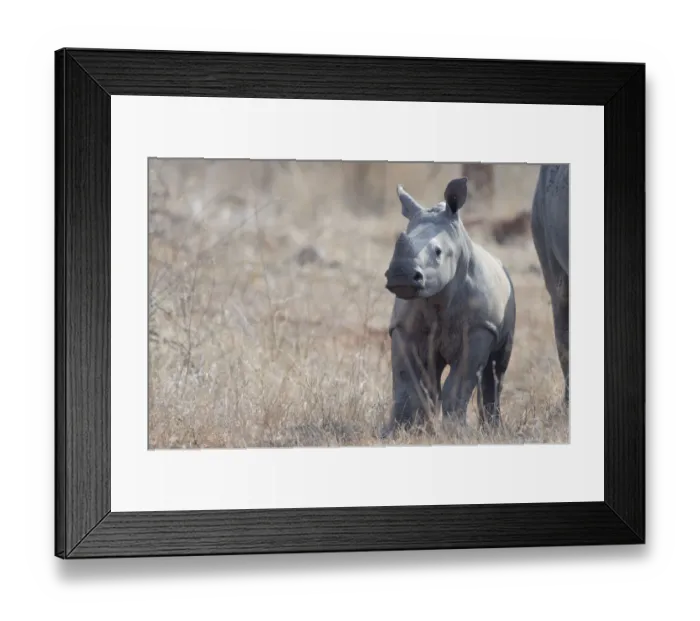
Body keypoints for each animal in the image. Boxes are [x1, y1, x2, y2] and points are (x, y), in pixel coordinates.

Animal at [382, 177, 516, 437]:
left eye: (438, 252)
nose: (401, 275)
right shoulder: (402, 327)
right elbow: (407, 379)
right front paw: (398, 431)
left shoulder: (479, 328)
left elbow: (458, 383)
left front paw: (456, 432)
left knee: (496, 370)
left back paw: (492, 430)